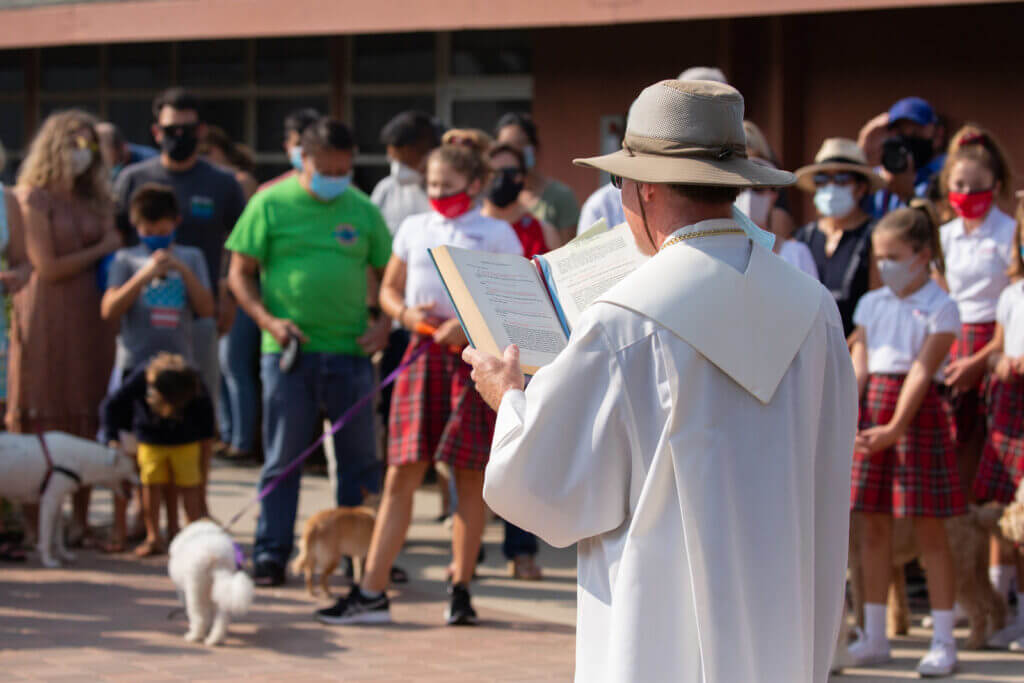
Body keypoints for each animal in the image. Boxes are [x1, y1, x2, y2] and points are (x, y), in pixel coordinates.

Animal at [0, 432, 137, 565]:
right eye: (132, 468)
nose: (140, 482)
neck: (79, 459)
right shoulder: (50, 500)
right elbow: (46, 535)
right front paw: (48, 560)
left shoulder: (58, 501)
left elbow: (58, 534)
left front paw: (64, 555)